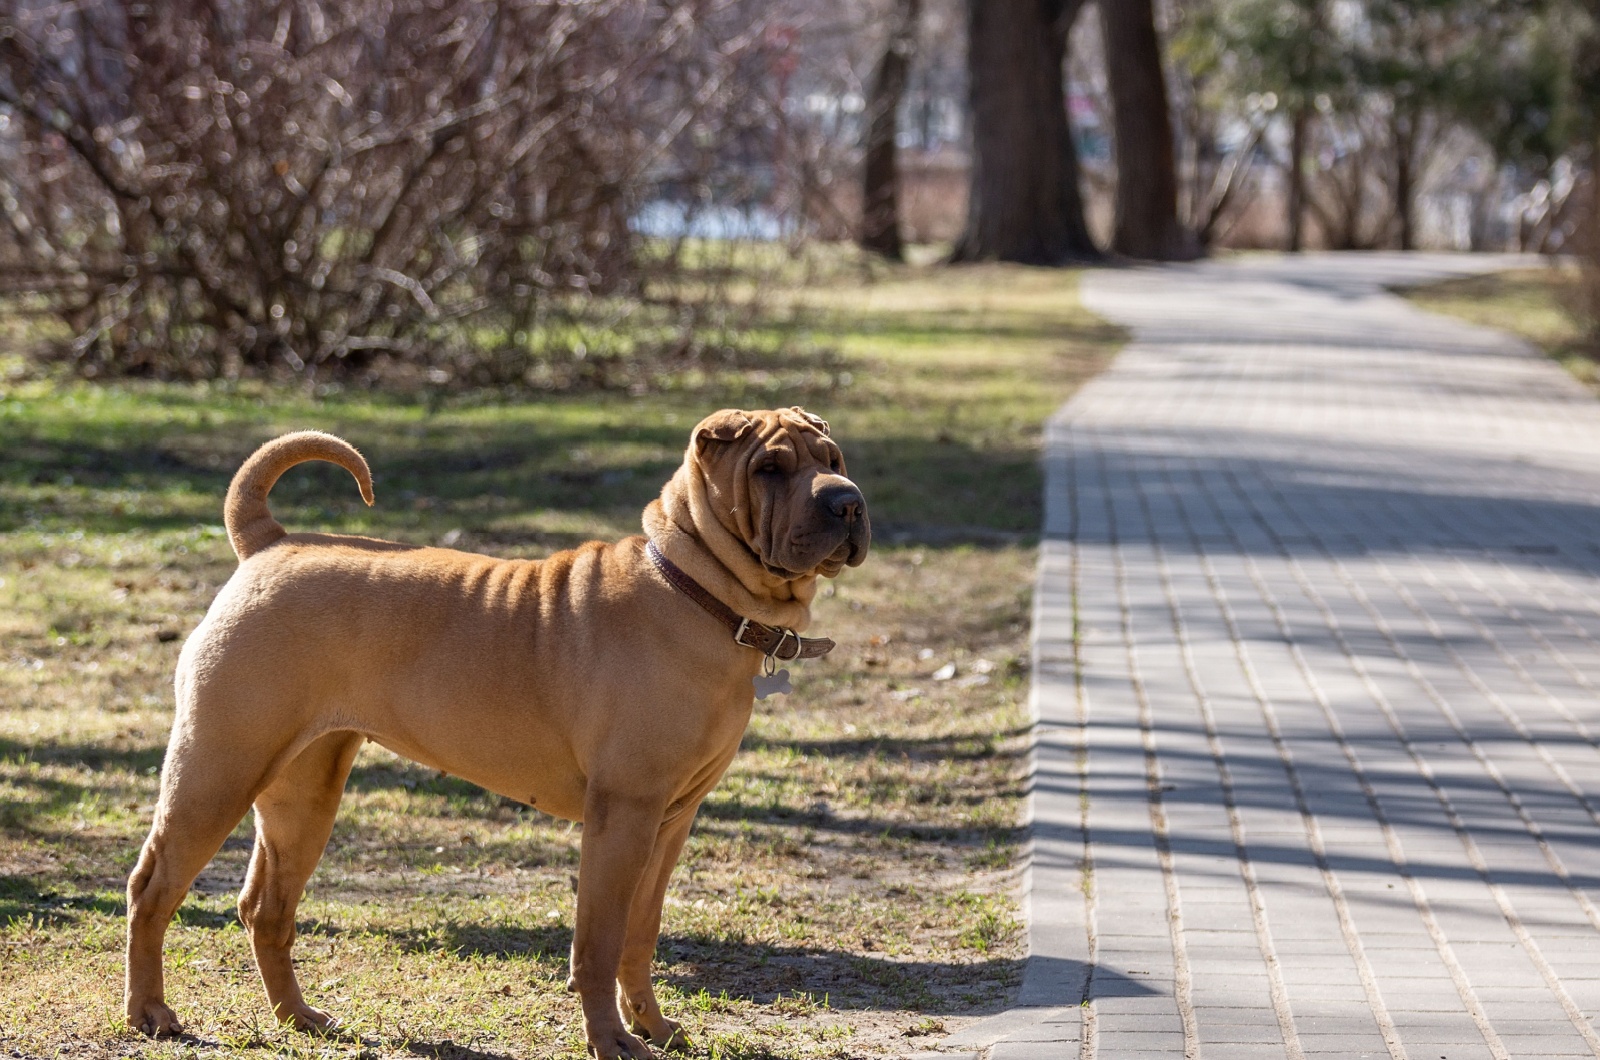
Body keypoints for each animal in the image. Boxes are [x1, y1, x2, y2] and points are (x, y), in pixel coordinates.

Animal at [123, 408, 870, 1060]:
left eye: (833, 460)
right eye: (770, 468)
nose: (848, 503)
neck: (697, 592)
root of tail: (270, 541)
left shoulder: (670, 820)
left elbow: (640, 934)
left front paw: (653, 1027)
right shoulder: (623, 815)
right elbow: (598, 942)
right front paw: (611, 1041)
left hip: (303, 792)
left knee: (266, 908)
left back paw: (300, 1018)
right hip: (217, 770)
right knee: (152, 889)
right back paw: (152, 1013)